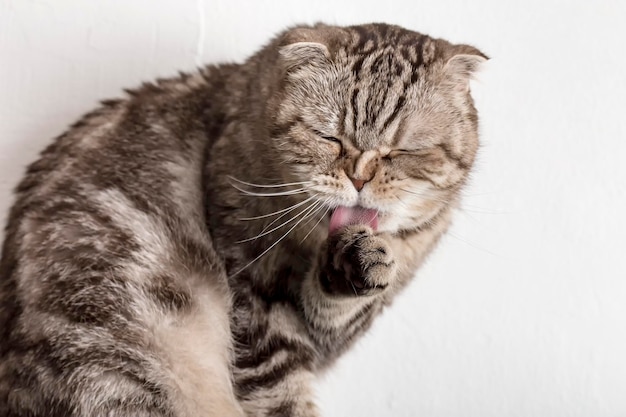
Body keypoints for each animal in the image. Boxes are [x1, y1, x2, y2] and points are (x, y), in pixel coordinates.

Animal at [0, 23, 486, 416]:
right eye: (327, 137)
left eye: (404, 150)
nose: (359, 177)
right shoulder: (254, 299)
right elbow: (280, 394)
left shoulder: (336, 327)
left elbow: (336, 306)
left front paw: (357, 262)